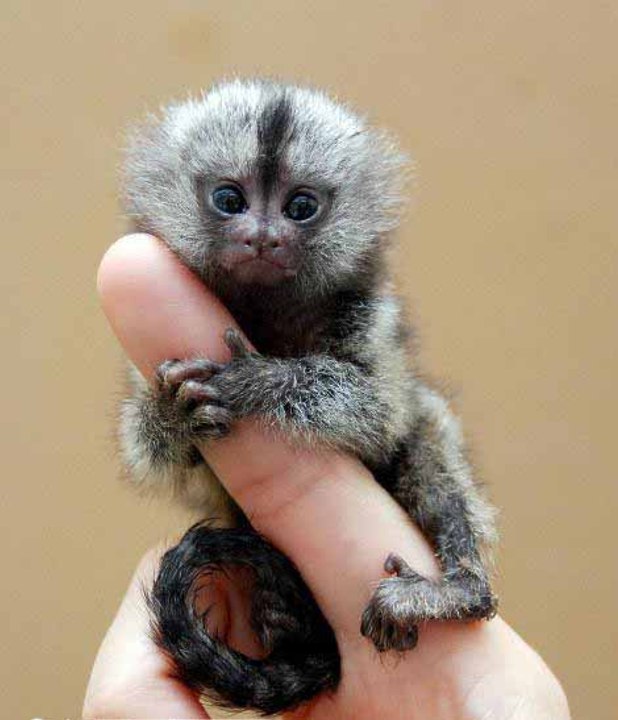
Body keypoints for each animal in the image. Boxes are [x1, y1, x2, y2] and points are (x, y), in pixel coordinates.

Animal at [118, 78, 499, 715]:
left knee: (428, 439)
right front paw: (169, 415)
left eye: (300, 207)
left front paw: (258, 381)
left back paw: (461, 591)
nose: (263, 238)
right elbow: (160, 455)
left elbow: (380, 413)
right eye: (230, 199)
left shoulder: (365, 313)